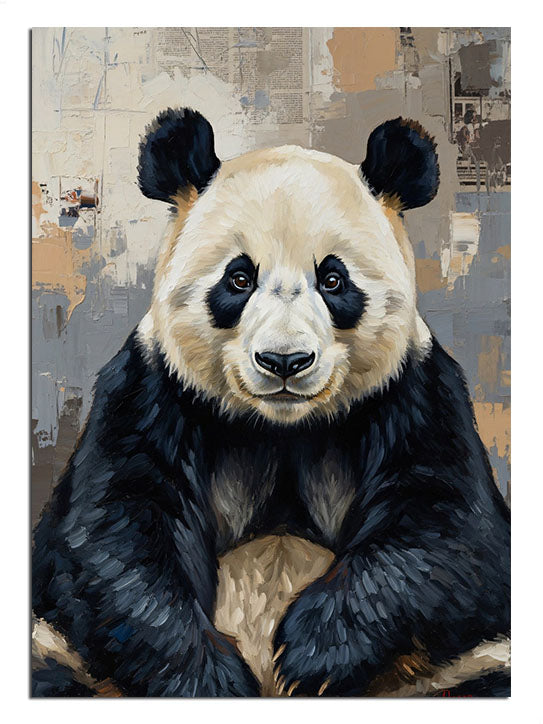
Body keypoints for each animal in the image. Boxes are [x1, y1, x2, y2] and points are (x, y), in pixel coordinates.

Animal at [32, 108, 510, 698]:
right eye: (239, 278)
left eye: (334, 279)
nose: (285, 361)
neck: (282, 426)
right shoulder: (153, 389)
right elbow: (116, 529)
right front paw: (211, 681)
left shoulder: (414, 391)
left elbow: (448, 530)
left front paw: (312, 652)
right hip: (58, 652)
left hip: (461, 668)